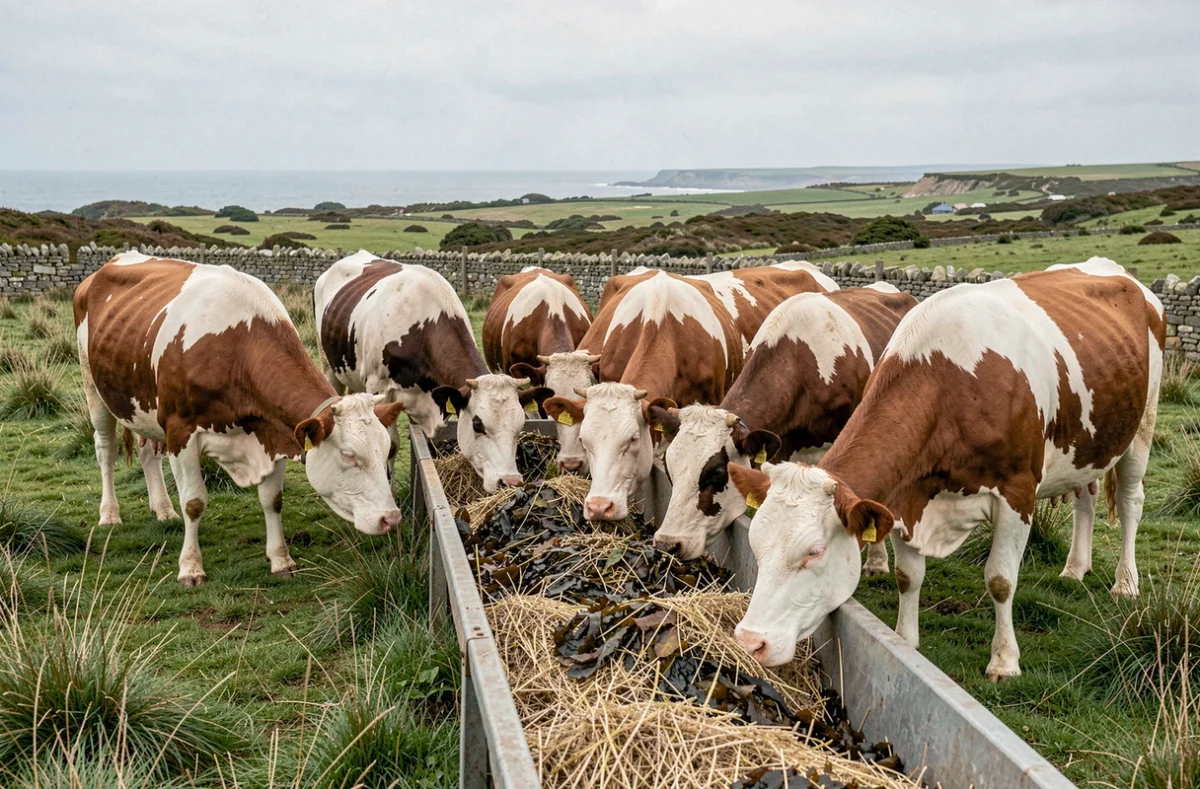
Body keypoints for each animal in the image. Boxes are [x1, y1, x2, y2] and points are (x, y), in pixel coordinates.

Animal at [74, 252, 406, 586]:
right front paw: (190, 568)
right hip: (94, 389)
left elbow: (273, 499)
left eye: (386, 451)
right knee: (106, 450)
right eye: (349, 455)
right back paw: (110, 514)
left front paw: (281, 560)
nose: (390, 518)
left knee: (147, 453)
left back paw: (163, 510)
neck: (235, 353)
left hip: (141, 406)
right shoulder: (180, 431)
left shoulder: (273, 431)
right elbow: (193, 503)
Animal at [315, 250, 551, 494]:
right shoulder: (377, 388)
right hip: (328, 364)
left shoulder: (436, 398)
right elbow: (389, 446)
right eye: (478, 424)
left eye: (520, 426)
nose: (509, 482)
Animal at [727, 258, 1164, 681]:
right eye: (756, 546)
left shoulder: (1017, 493)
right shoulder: (905, 495)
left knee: (1131, 502)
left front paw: (1004, 662)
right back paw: (1074, 568)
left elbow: (1001, 580)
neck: (952, 386)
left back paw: (1126, 582)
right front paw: (905, 643)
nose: (750, 641)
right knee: (1085, 497)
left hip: (1142, 426)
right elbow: (908, 575)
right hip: (1090, 445)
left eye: (814, 552)